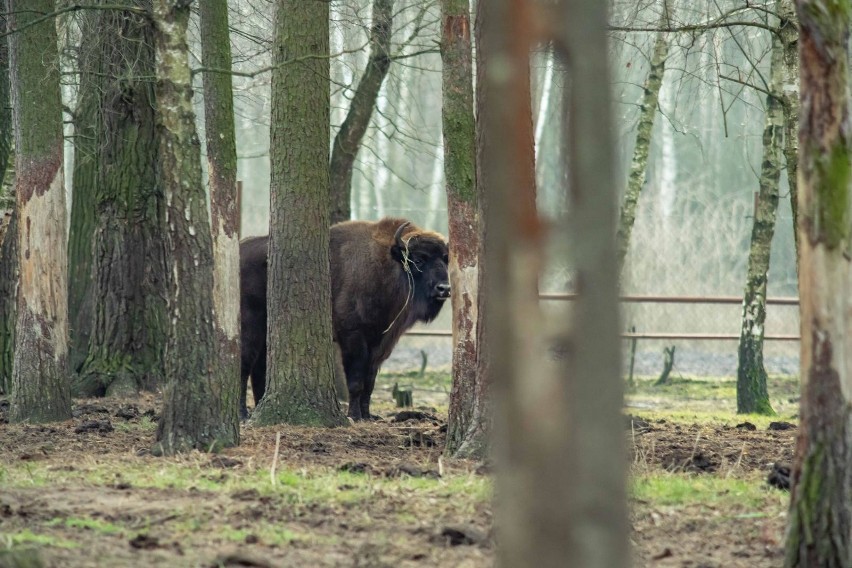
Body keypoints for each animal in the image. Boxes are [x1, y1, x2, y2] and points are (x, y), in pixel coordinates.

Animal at [238, 220, 450, 420]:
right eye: (419, 259)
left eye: (445, 259)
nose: (444, 289)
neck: (385, 265)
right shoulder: (353, 335)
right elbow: (356, 381)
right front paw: (354, 415)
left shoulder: (380, 342)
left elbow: (369, 382)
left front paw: (368, 415)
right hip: (250, 326)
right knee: (245, 365)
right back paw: (243, 414)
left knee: (259, 369)